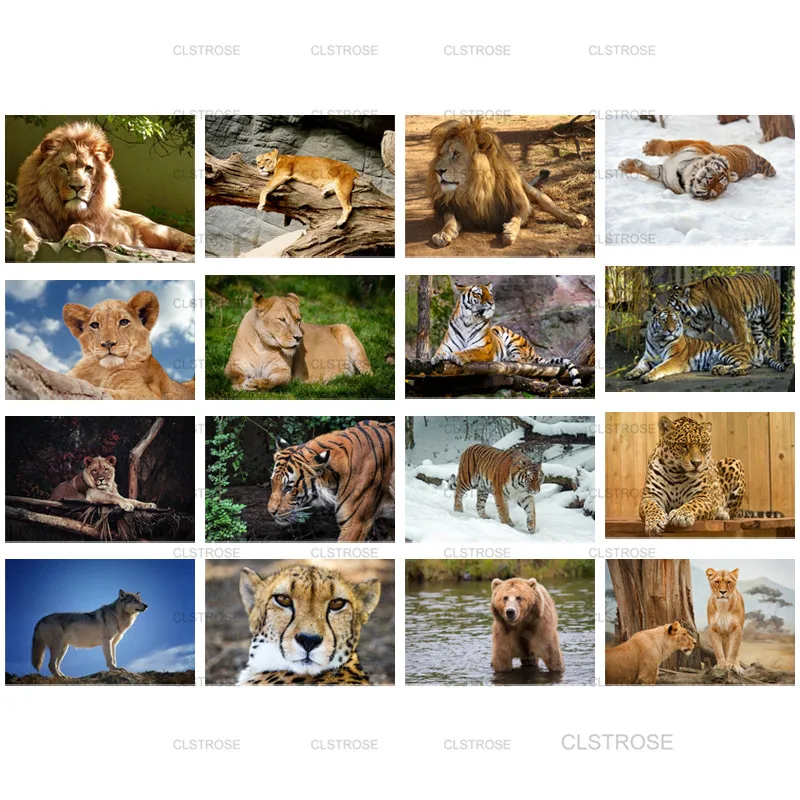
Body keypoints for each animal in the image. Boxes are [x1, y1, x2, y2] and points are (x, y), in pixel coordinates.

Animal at [431, 283, 582, 386]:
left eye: (490, 294)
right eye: (478, 294)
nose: (491, 303)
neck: (467, 321)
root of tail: (533, 349)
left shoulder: (484, 349)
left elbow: (470, 351)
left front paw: (457, 356)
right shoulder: (446, 345)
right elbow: (440, 351)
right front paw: (435, 358)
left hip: (512, 338)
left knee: (522, 360)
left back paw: (508, 359)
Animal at [619, 138, 776, 199]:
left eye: (713, 191)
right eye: (721, 176)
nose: (709, 181)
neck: (684, 173)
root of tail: (754, 157)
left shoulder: (662, 174)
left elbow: (647, 169)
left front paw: (626, 165)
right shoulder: (695, 142)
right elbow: (670, 145)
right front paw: (649, 148)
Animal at [625, 304, 784, 383]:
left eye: (674, 320)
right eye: (664, 320)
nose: (671, 330)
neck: (658, 340)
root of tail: (754, 345)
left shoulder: (674, 359)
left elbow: (660, 367)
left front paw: (648, 376)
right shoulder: (647, 358)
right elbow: (638, 366)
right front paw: (631, 374)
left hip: (727, 352)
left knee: (748, 365)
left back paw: (735, 372)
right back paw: (719, 369)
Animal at [639, 416, 784, 537]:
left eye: (703, 446)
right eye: (683, 445)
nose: (697, 463)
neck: (677, 474)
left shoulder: (703, 497)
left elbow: (693, 504)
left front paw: (681, 515)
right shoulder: (650, 496)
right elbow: (651, 507)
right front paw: (655, 522)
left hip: (735, 462)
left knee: (731, 512)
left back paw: (721, 513)